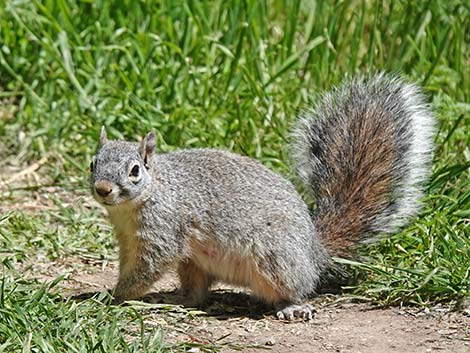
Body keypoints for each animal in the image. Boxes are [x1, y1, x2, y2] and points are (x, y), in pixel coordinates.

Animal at [90, 73, 436, 320]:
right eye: (93, 162)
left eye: (135, 170)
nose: (103, 189)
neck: (150, 193)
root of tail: (315, 253)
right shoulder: (128, 238)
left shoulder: (163, 230)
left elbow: (148, 267)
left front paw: (115, 295)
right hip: (195, 262)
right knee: (198, 293)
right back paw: (177, 299)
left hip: (275, 256)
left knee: (293, 289)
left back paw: (292, 306)